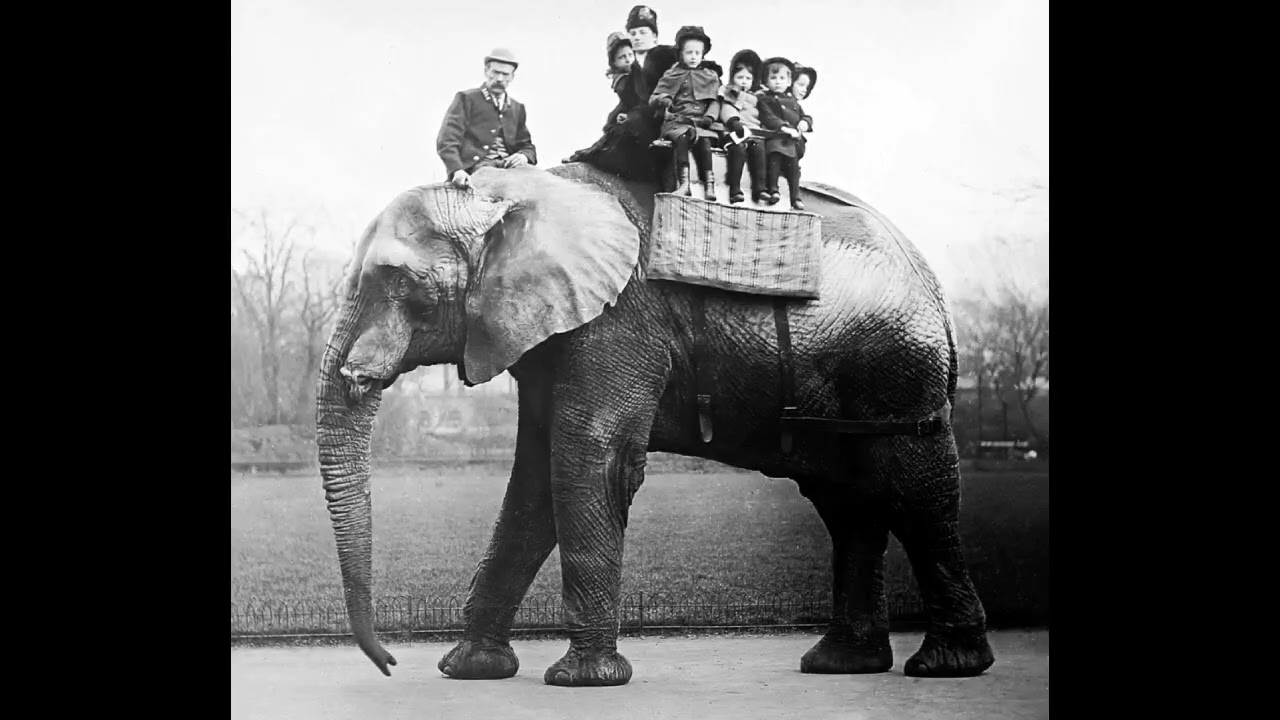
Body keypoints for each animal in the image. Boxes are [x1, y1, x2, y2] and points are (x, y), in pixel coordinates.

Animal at [316, 162, 996, 687]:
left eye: (402, 284)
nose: (389, 663)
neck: (513, 192)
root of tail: (935, 287)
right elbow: (534, 479)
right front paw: (470, 671)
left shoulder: (618, 320)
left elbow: (587, 461)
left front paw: (581, 681)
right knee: (848, 504)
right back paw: (840, 664)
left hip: (895, 365)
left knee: (916, 495)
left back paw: (946, 665)